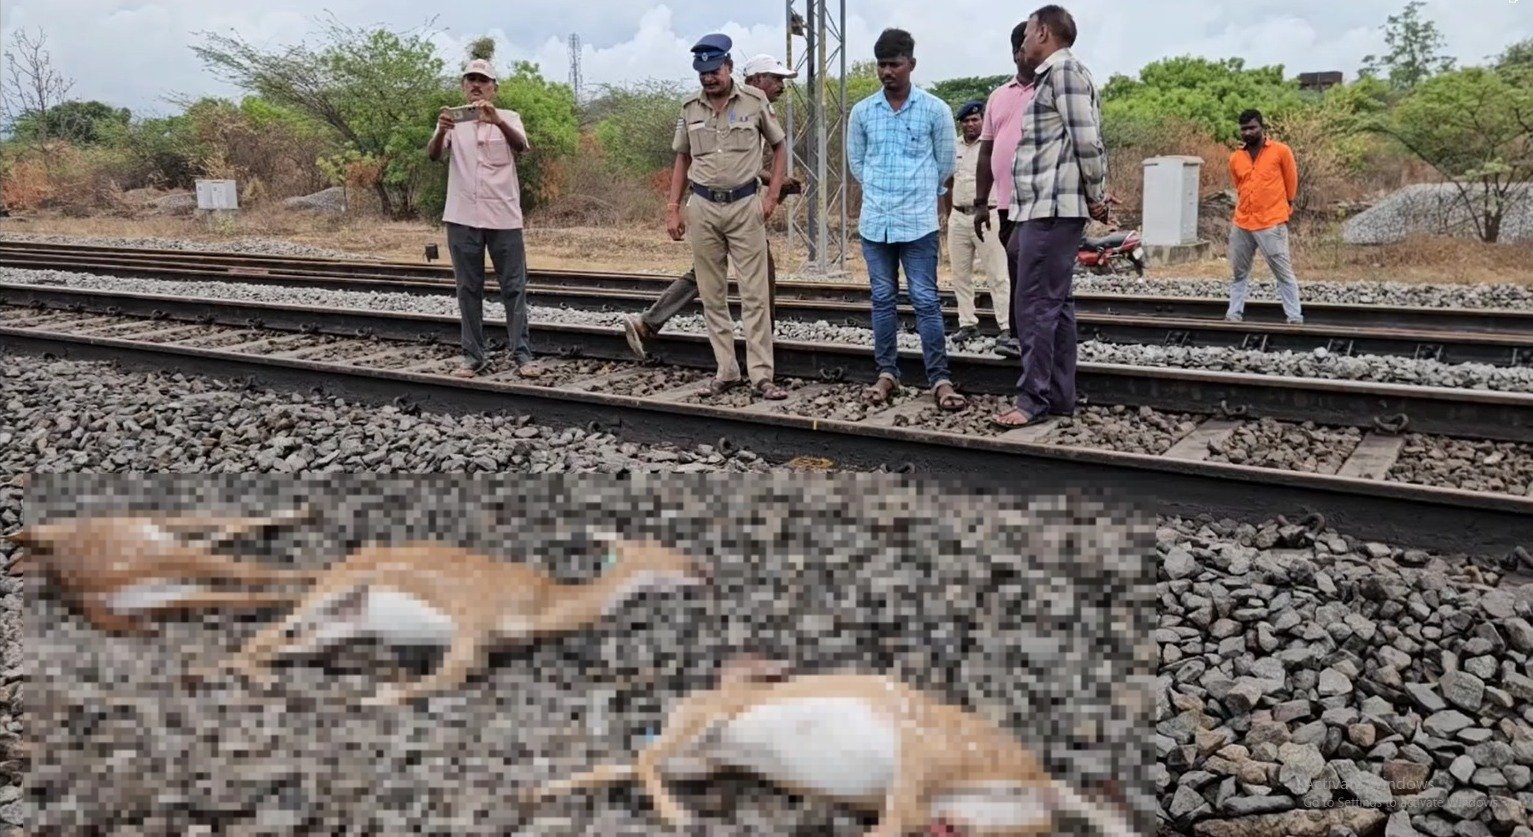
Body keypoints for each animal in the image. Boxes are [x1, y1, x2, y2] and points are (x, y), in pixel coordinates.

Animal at [2, 505, 318, 634]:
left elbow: (227, 526)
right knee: (254, 573)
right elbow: (230, 525)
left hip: (170, 593)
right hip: (170, 565)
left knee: (251, 593)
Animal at [216, 533, 711, 705]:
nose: (703, 572)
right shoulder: (471, 617)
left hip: (344, 621)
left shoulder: (488, 640)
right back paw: (262, 679)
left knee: (287, 641)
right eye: (665, 550)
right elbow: (451, 673)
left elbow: (464, 669)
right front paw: (382, 694)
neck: (544, 603)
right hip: (329, 593)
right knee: (267, 632)